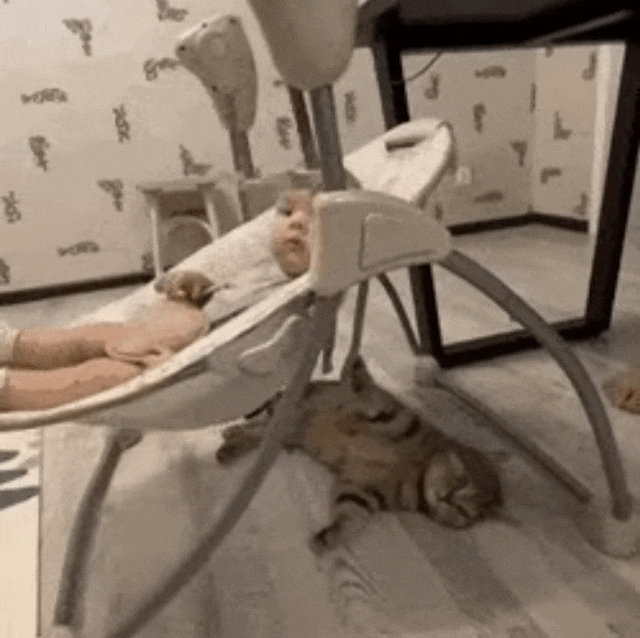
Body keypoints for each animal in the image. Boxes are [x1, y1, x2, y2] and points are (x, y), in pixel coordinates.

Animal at [217, 356, 502, 553]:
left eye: (462, 510)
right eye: (461, 480)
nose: (444, 497)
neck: (416, 471)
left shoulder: (364, 489)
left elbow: (350, 515)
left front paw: (331, 535)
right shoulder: (392, 414)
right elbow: (374, 405)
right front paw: (359, 382)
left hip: (284, 431)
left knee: (262, 432)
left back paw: (231, 441)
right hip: (290, 412)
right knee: (267, 421)